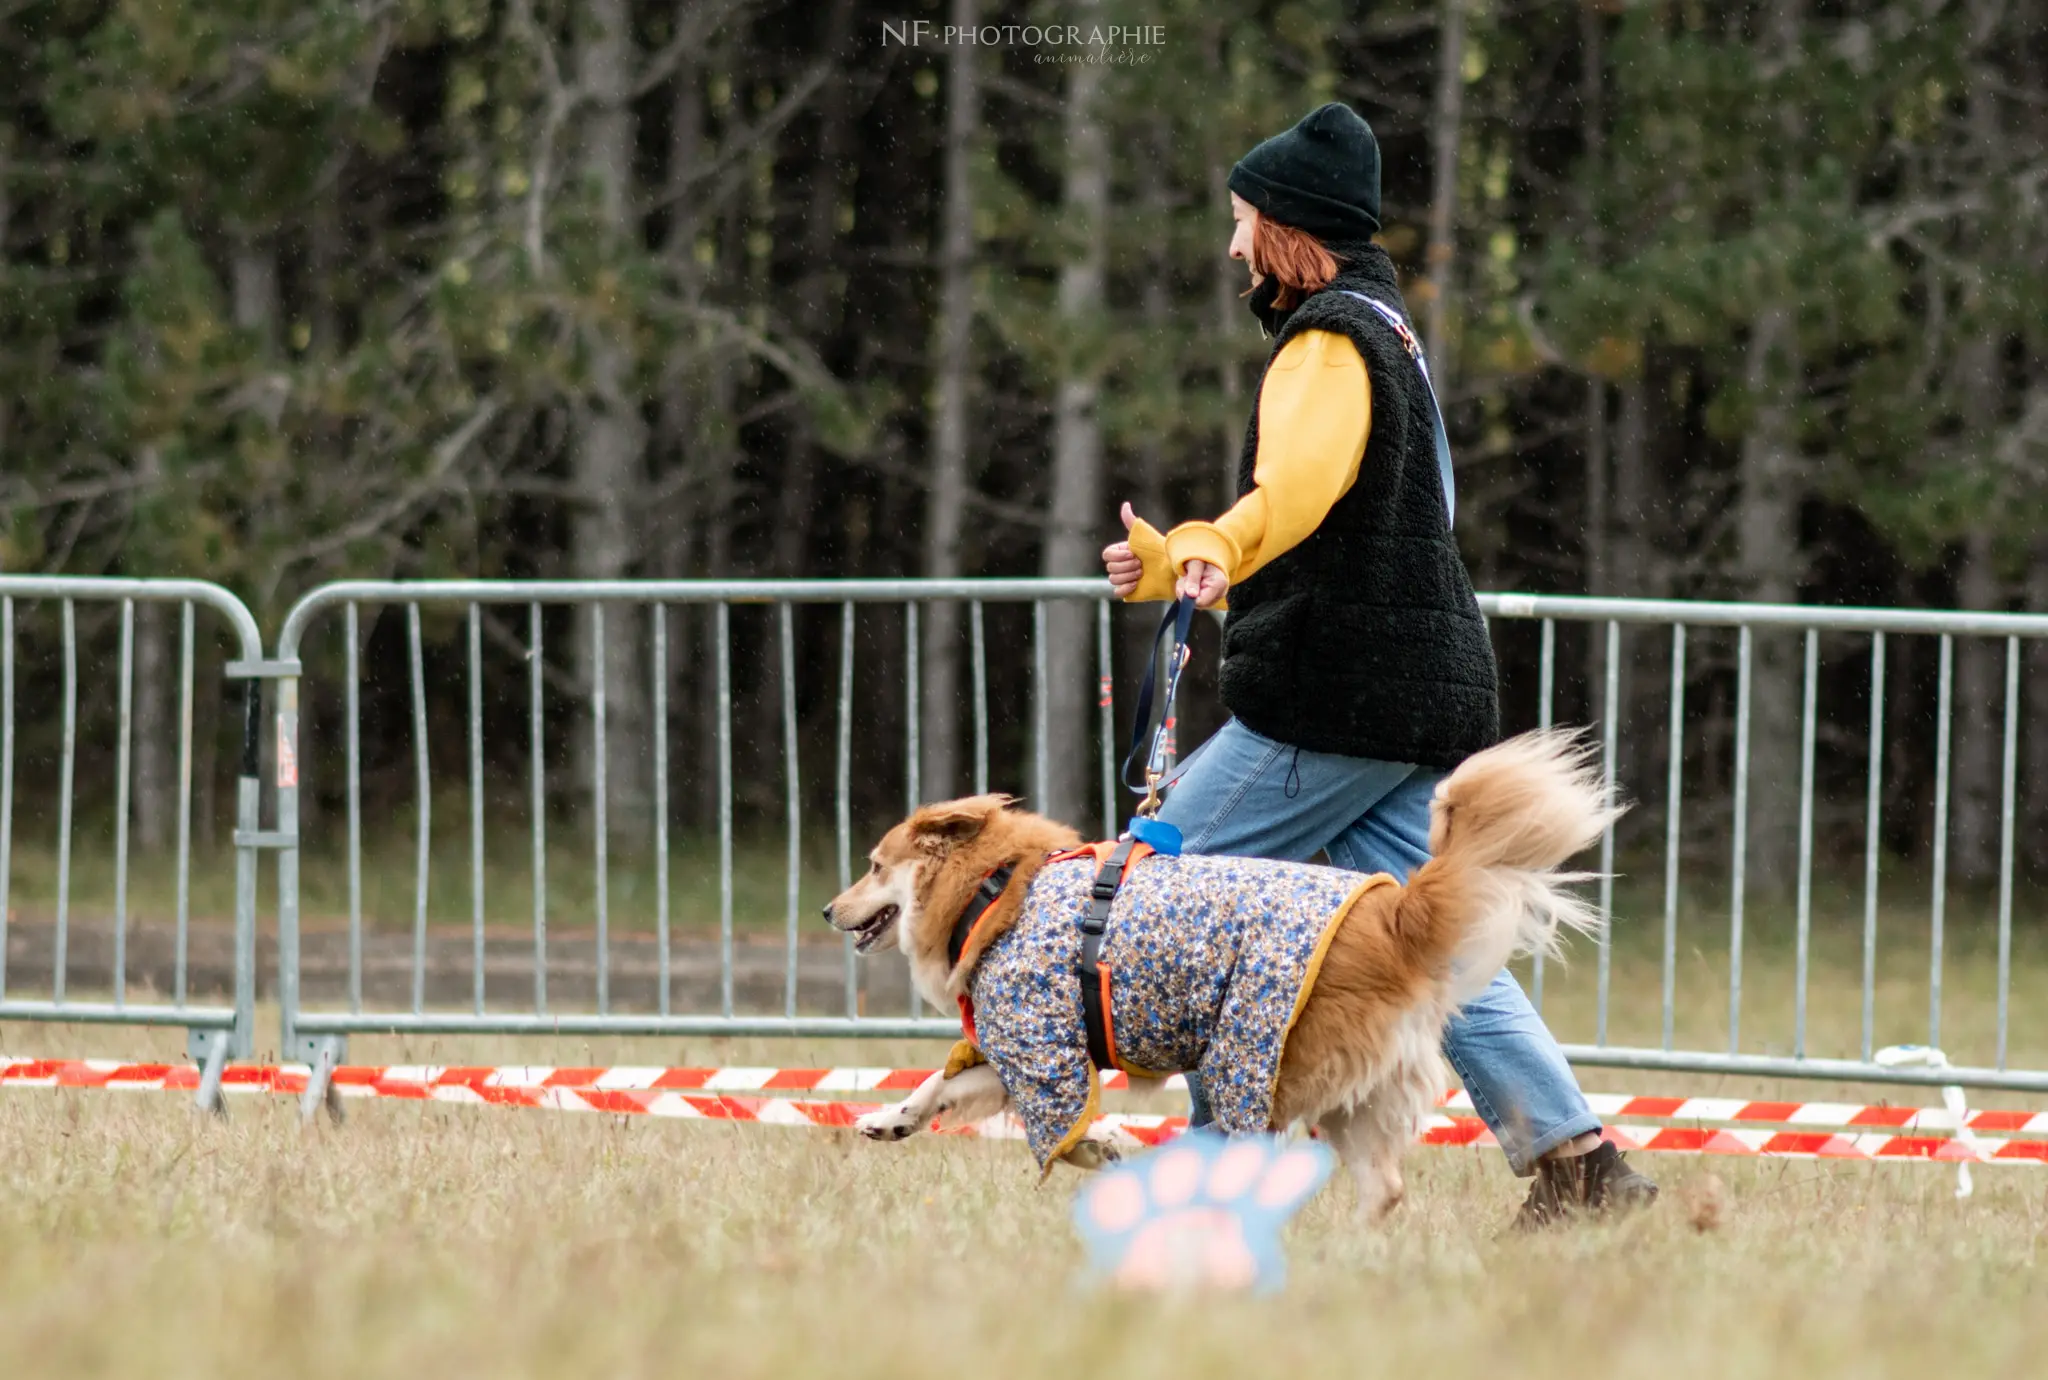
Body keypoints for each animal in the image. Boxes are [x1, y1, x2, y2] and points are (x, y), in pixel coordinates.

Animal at [823, 724, 1622, 1212]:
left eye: (874, 866)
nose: (829, 909)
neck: (996, 890)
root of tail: (1394, 915)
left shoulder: (1045, 1044)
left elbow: (1067, 1135)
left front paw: (1108, 1148)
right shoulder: (1017, 1045)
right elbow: (937, 1084)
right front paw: (888, 1120)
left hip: (1254, 1052)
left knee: (1263, 1152)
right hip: (1348, 1089)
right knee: (1385, 1186)